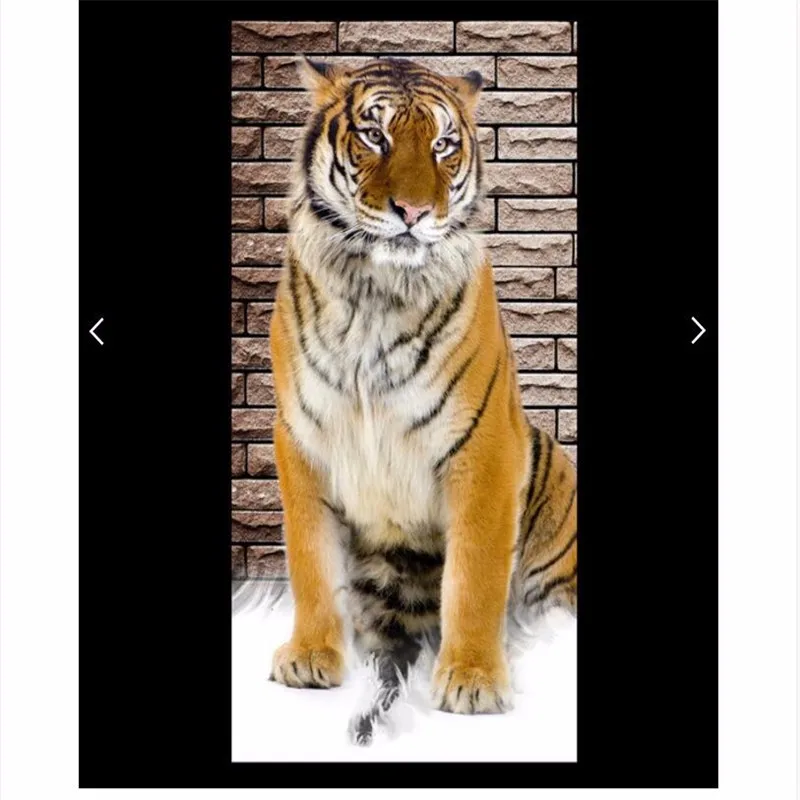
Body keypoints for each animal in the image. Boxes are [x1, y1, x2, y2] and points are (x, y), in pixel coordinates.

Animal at [267, 55, 577, 745]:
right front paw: (311, 656)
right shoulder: (302, 440)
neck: (375, 292)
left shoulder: (485, 450)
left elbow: (476, 576)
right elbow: (310, 560)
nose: (411, 211)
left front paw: (473, 680)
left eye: (442, 144)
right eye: (374, 136)